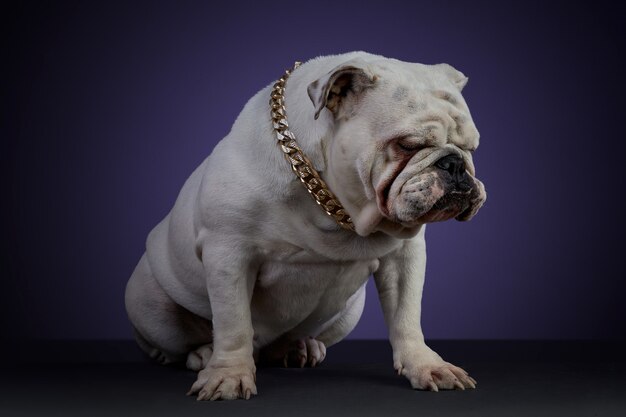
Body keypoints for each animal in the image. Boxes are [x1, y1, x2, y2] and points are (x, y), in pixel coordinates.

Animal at [123, 52, 482, 400]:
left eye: (471, 147)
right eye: (407, 144)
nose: (455, 164)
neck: (332, 204)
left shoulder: (404, 257)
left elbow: (406, 316)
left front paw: (427, 366)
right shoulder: (228, 254)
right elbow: (233, 322)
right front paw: (228, 375)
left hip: (347, 314)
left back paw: (299, 348)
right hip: (149, 305)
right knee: (173, 342)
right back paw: (202, 354)